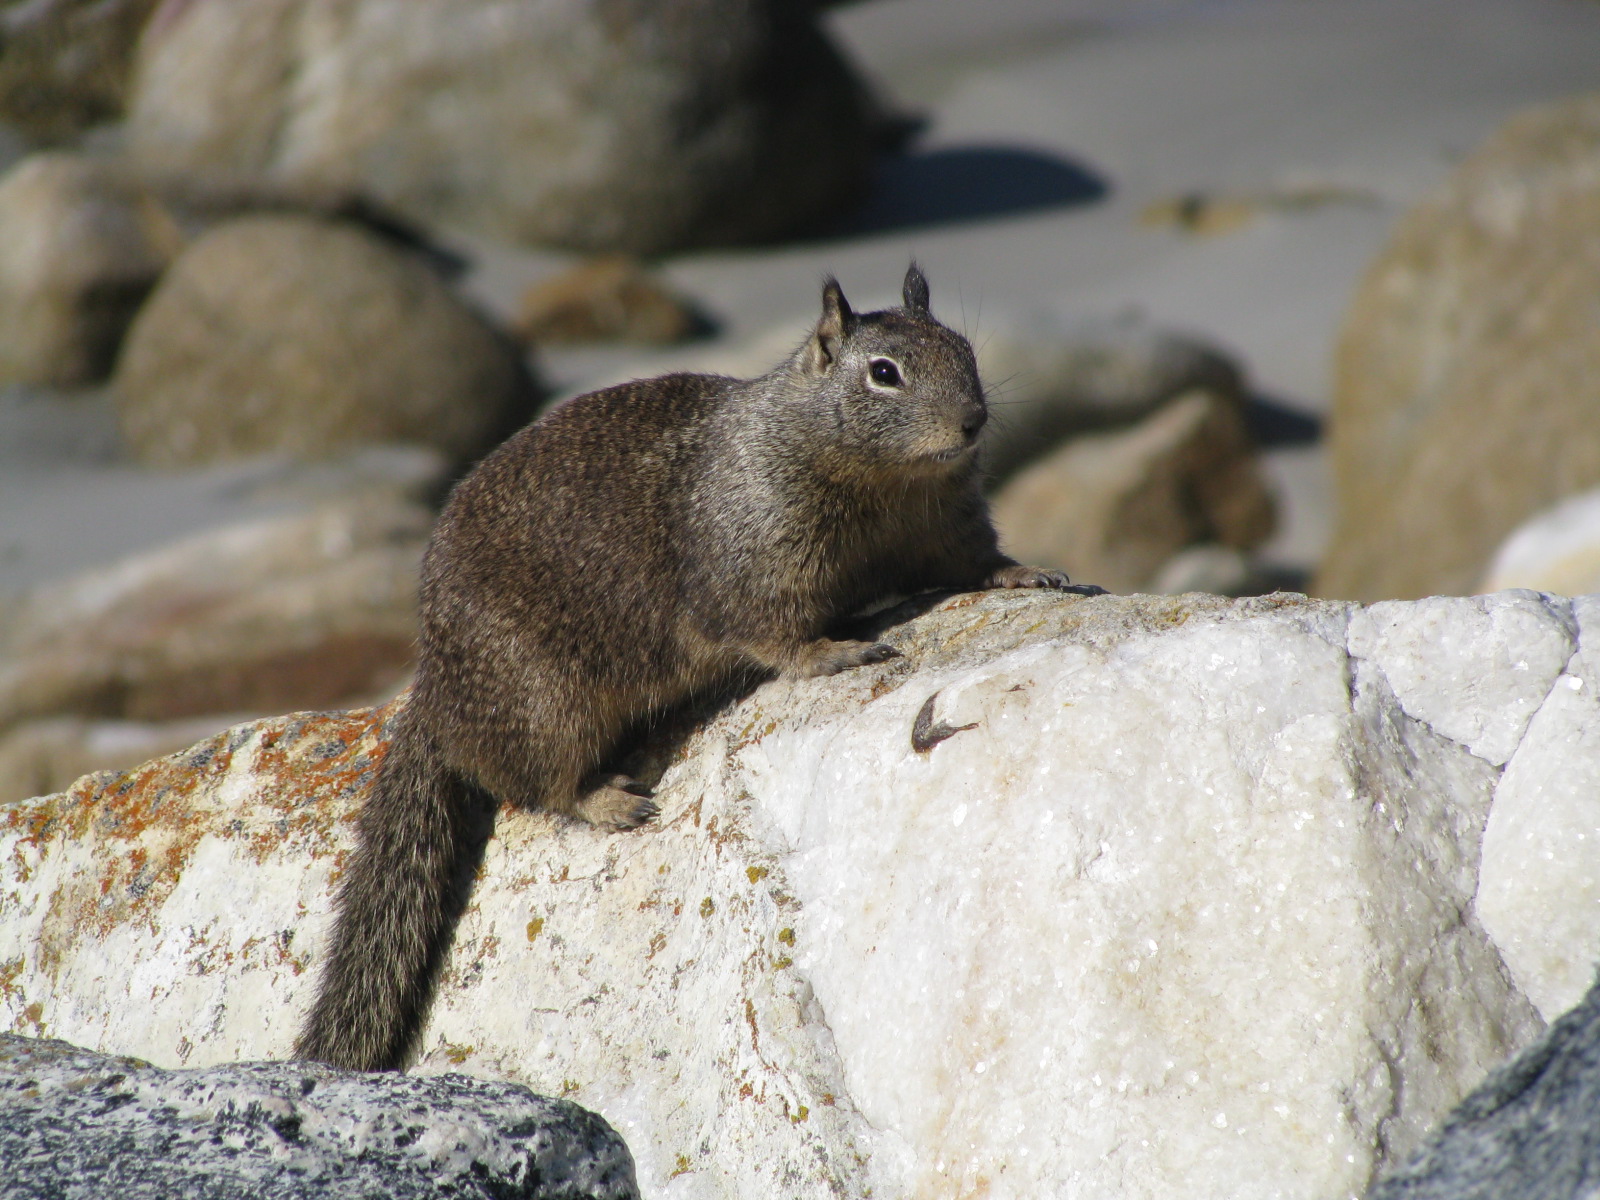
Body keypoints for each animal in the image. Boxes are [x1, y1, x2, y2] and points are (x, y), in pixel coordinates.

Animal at [294, 262, 1094, 1068]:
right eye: (884, 373)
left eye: (964, 348)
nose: (974, 421)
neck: (881, 480)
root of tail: (432, 691)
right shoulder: (760, 554)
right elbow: (769, 629)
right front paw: (832, 651)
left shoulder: (943, 523)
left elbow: (972, 561)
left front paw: (1028, 573)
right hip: (545, 702)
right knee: (540, 785)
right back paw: (610, 800)